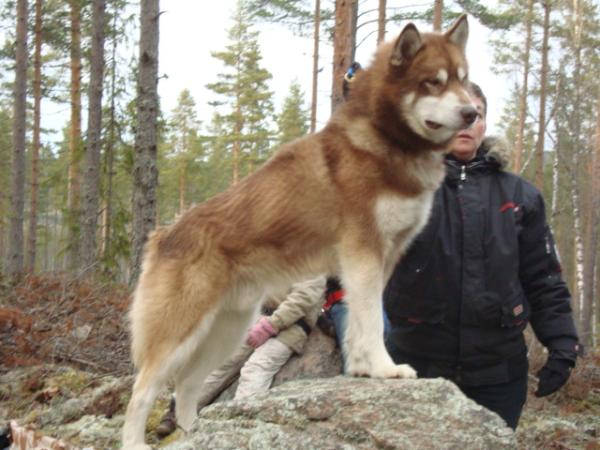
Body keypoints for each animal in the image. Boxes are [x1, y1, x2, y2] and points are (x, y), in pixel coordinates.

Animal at [123, 14, 478, 450]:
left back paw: (198, 433)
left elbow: (361, 322)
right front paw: (385, 368)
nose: (472, 112)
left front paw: (363, 368)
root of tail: (162, 235)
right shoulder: (363, 252)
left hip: (228, 330)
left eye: (463, 79)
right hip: (180, 332)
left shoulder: (380, 260)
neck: (386, 141)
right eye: (433, 82)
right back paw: (136, 441)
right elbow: (373, 322)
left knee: (188, 386)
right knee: (142, 392)